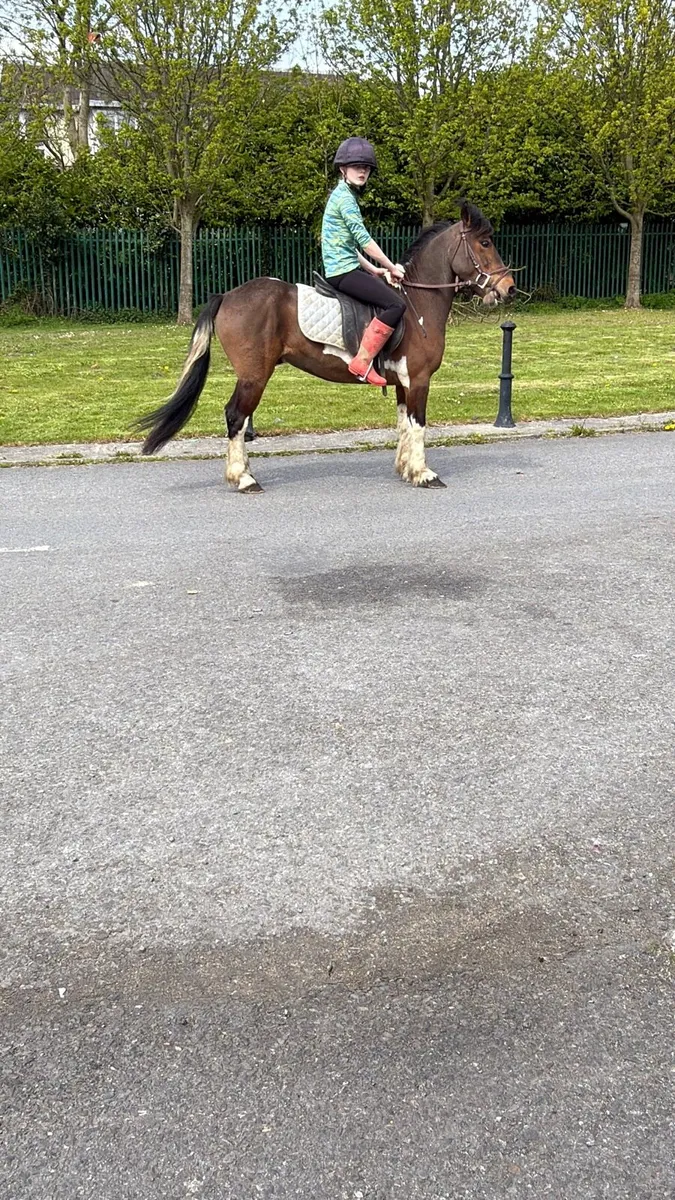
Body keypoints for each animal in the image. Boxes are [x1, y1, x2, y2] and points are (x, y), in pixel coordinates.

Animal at [138, 202, 515, 491]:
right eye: (484, 242)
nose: (509, 287)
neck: (417, 302)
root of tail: (227, 296)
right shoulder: (419, 379)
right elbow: (419, 424)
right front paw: (424, 473)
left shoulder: (403, 383)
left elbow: (403, 424)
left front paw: (406, 469)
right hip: (253, 375)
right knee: (236, 417)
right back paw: (243, 478)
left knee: (239, 420)